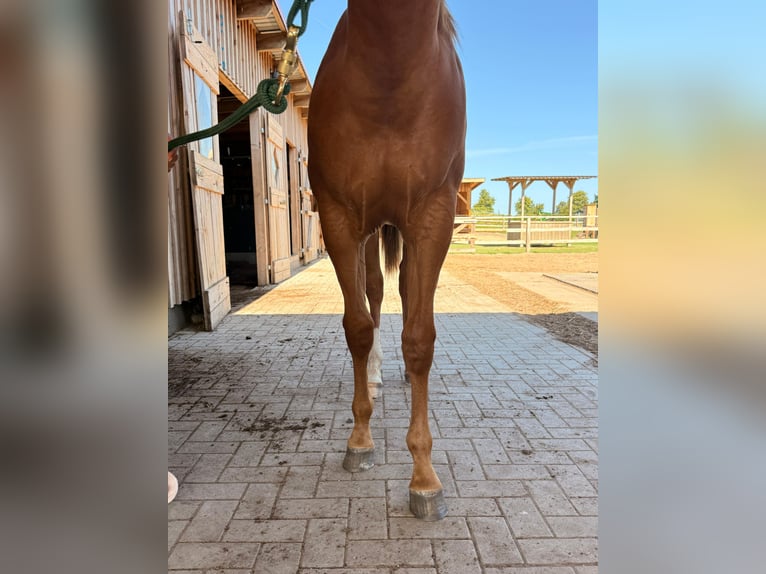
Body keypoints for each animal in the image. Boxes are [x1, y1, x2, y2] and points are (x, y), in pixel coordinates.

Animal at [307, 0, 466, 520]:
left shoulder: (433, 218)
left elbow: (419, 339)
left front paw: (424, 478)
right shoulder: (338, 216)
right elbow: (357, 327)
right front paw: (359, 440)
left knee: (400, 293)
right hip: (368, 230)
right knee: (373, 293)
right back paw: (373, 377)